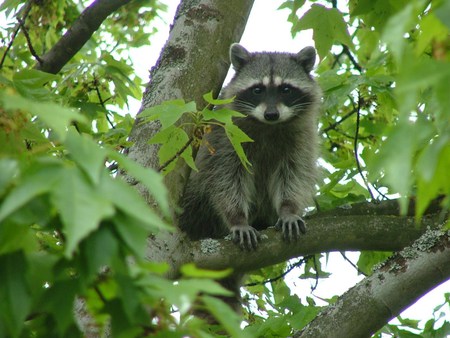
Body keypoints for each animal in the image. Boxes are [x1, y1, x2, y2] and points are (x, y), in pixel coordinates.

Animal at [178, 42, 322, 250]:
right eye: (258, 90)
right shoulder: (225, 138)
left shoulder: (301, 138)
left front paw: (288, 209)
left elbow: (295, 173)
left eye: (286, 89)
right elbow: (225, 178)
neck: (268, 126)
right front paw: (238, 219)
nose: (271, 114)